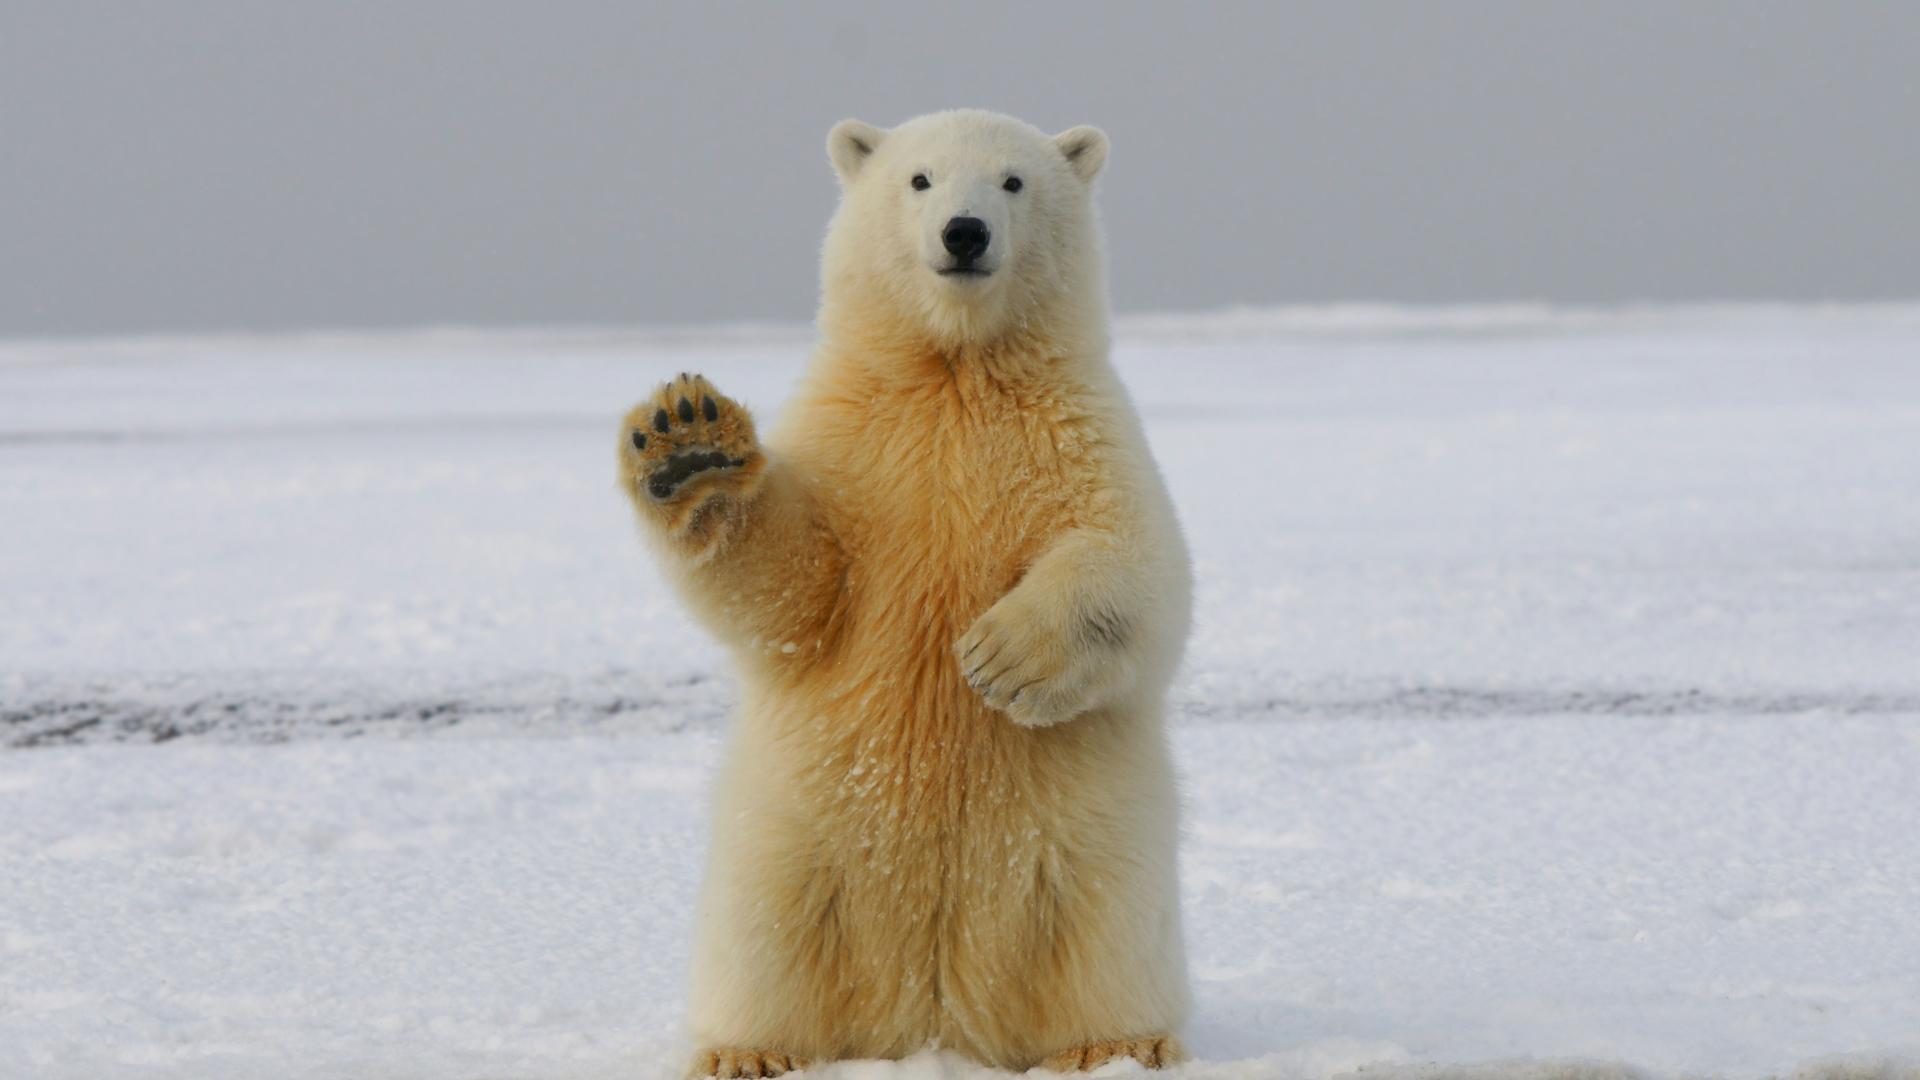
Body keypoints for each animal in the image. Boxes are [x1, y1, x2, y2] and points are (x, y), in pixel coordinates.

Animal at [618, 109, 1182, 1068]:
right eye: (919, 179)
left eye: (1012, 181)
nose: (965, 232)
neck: (953, 371)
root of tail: (932, 1016)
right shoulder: (857, 447)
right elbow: (795, 585)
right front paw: (688, 442)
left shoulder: (1081, 434)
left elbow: (1138, 566)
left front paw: (1000, 657)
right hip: (791, 836)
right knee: (765, 934)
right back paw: (746, 1050)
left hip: (1091, 842)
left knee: (1104, 930)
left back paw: (1116, 1046)